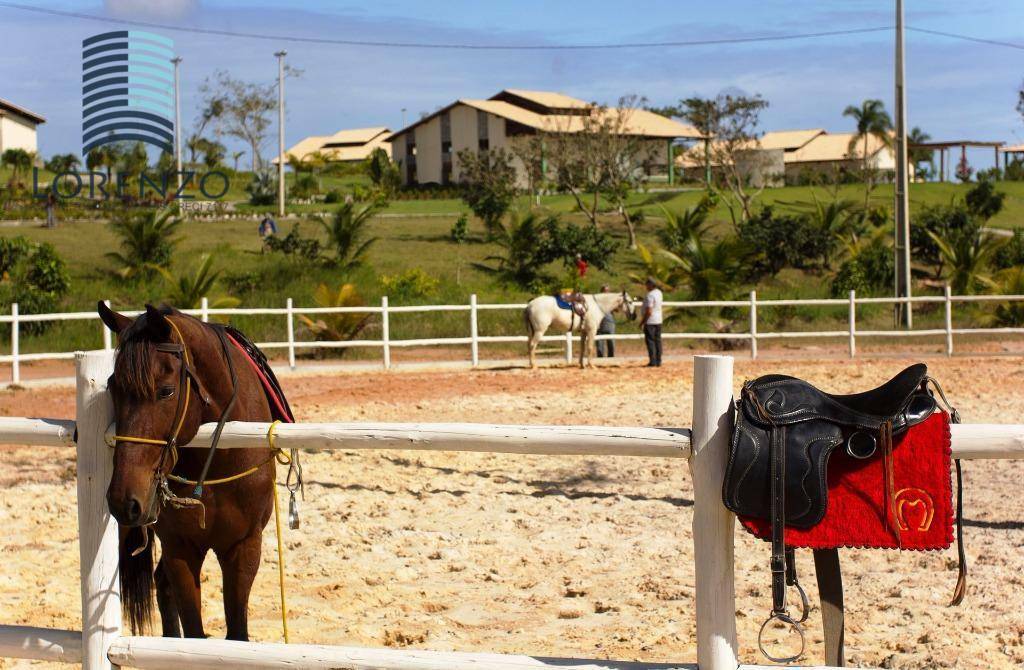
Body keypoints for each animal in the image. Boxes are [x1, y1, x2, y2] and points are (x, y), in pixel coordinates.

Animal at [99, 303, 276, 639]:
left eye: (166, 392)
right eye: (112, 387)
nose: (124, 501)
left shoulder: (243, 548)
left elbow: (237, 633)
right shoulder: (179, 549)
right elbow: (193, 634)